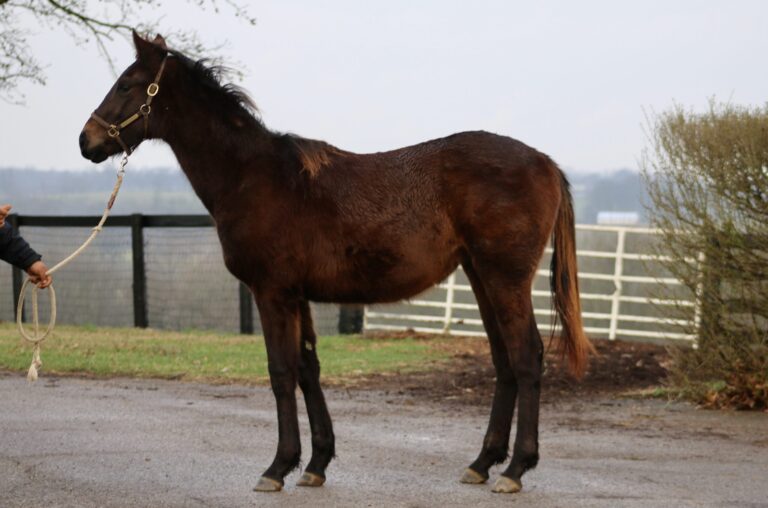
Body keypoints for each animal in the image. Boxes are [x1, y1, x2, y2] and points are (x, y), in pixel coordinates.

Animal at [79, 32, 593, 494]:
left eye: (126, 84)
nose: (87, 141)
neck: (254, 177)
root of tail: (546, 162)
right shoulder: (297, 295)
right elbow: (308, 369)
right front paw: (315, 463)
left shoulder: (272, 293)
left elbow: (281, 372)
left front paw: (277, 467)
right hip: (481, 277)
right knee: (504, 360)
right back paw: (483, 463)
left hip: (505, 278)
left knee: (526, 356)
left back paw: (515, 469)